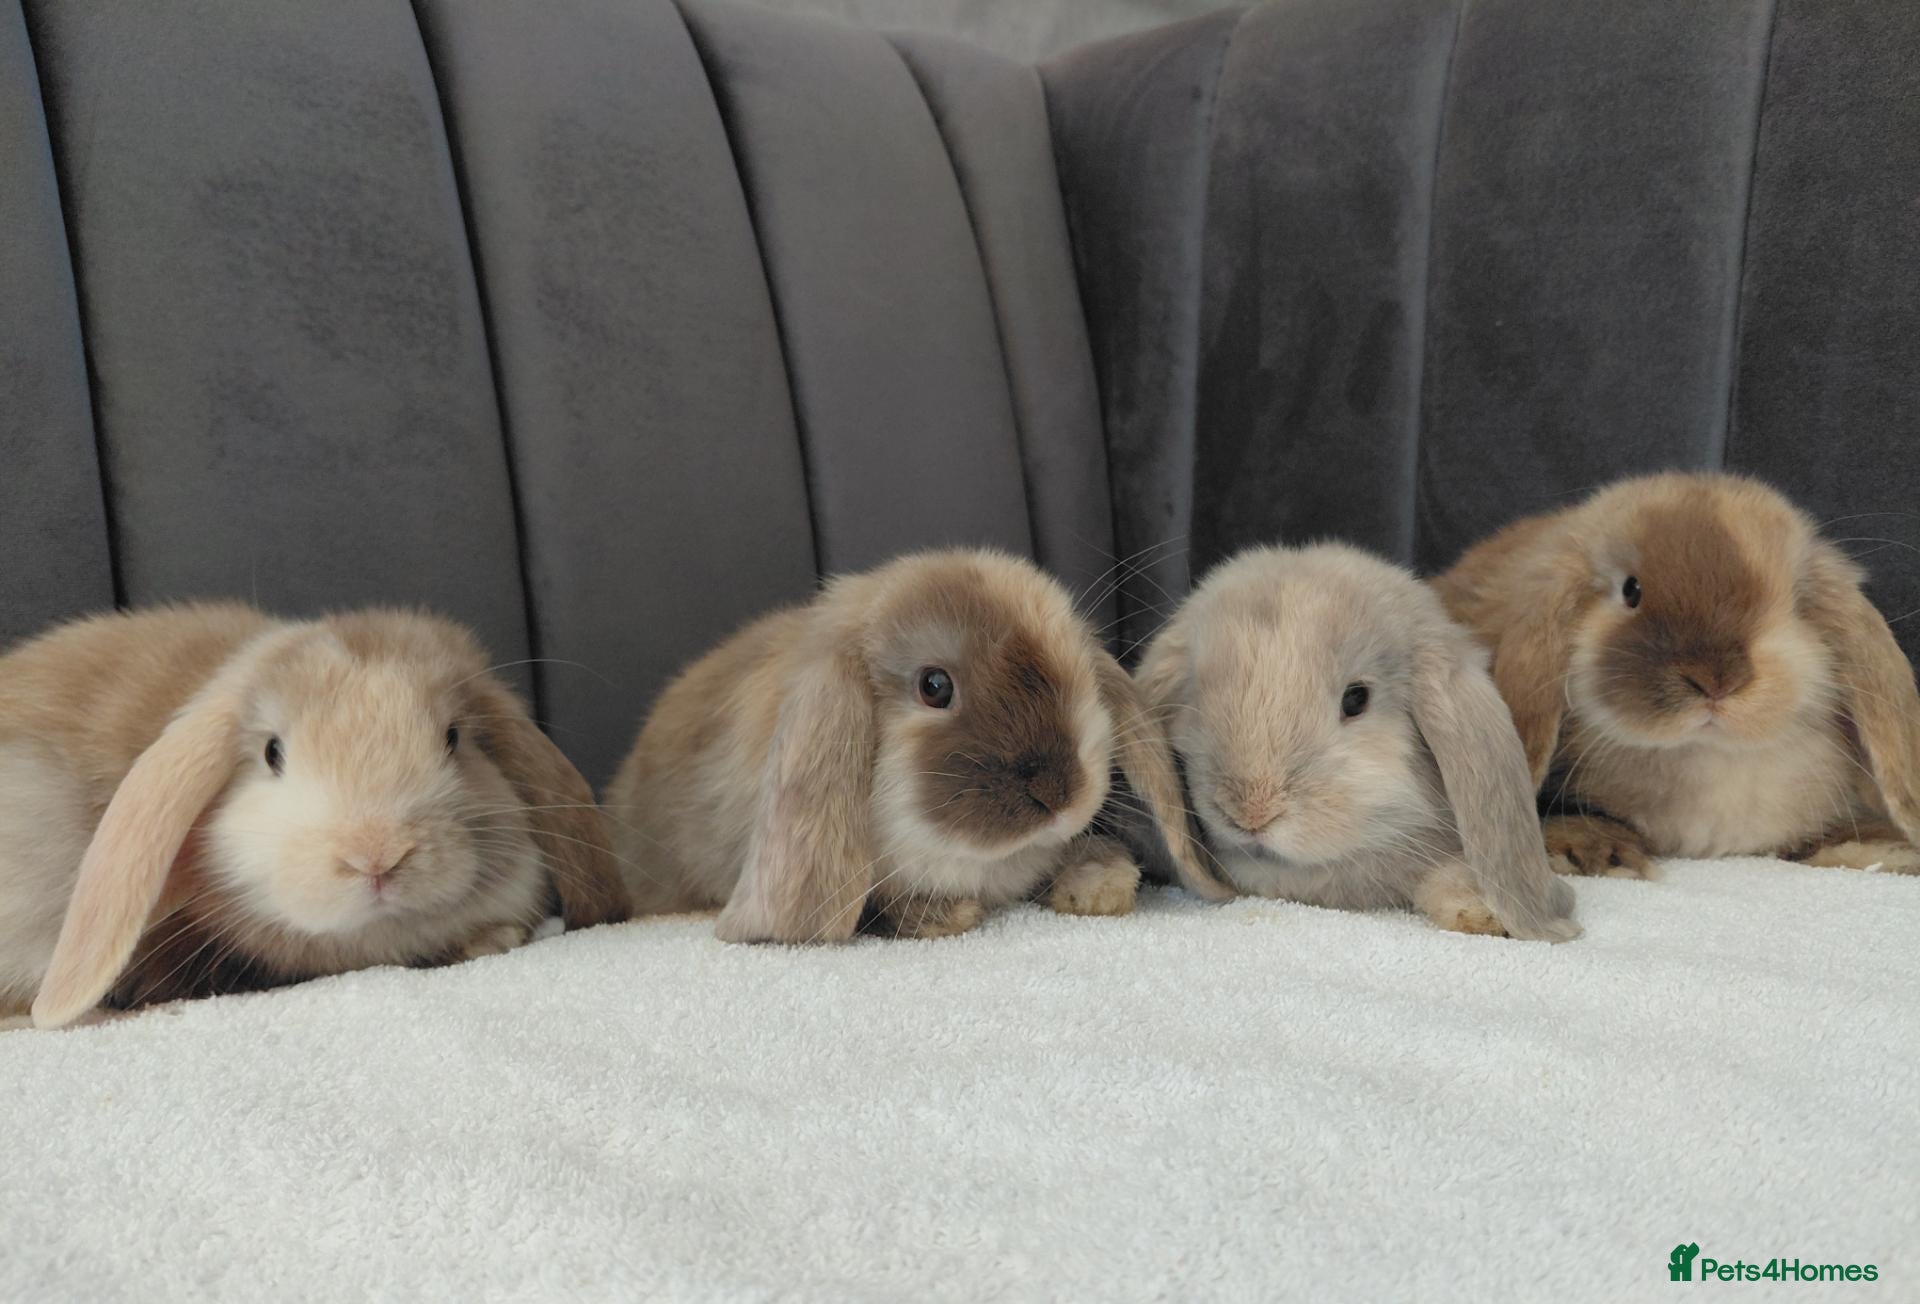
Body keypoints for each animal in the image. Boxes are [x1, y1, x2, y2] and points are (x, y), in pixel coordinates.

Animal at [1435, 471, 1920, 877]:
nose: (1716, 679)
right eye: (1631, 590)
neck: (1708, 755)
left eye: (1797, 603)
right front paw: (1597, 854)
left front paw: (1887, 851)